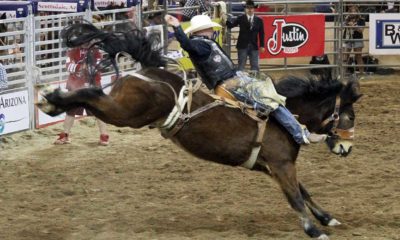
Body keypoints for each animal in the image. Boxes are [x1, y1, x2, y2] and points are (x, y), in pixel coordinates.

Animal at [37, 22, 362, 238]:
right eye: (349, 117)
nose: (347, 148)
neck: (285, 116)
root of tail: (145, 72)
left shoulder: (271, 166)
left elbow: (303, 191)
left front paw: (328, 218)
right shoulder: (281, 164)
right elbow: (295, 195)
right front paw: (314, 230)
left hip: (123, 110)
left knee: (91, 101)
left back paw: (52, 103)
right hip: (126, 113)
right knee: (92, 95)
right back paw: (50, 98)